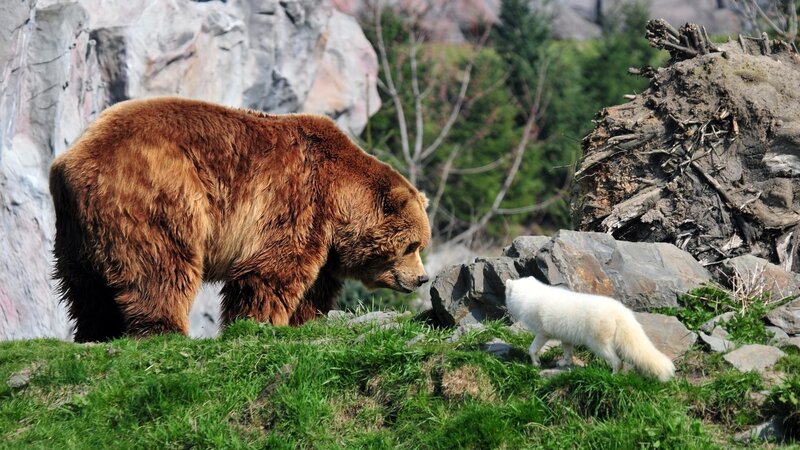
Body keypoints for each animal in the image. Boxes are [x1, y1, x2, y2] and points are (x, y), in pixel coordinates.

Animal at [49, 97, 431, 342]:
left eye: (421, 245)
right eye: (411, 245)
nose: (422, 279)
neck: (339, 200)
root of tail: (72, 160)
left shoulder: (324, 241)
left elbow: (315, 287)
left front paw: (304, 320)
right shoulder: (297, 199)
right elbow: (271, 270)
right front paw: (259, 322)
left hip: (76, 229)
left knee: (84, 286)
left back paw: (95, 332)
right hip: (158, 192)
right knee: (161, 265)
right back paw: (164, 329)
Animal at [504, 277, 675, 382]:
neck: (529, 296)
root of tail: (621, 312)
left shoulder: (543, 332)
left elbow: (532, 348)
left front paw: (536, 363)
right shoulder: (565, 335)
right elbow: (568, 350)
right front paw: (564, 363)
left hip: (597, 342)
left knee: (617, 360)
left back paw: (613, 375)